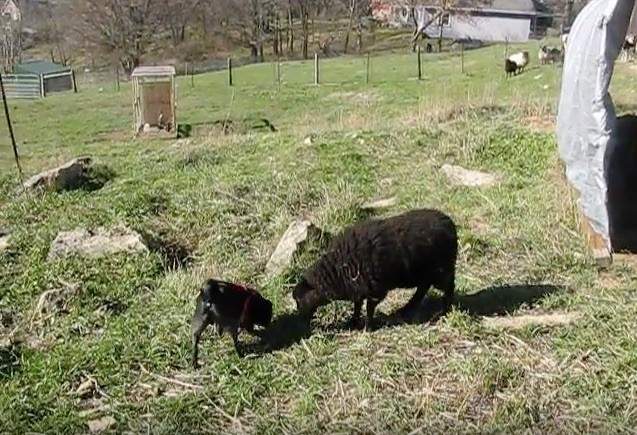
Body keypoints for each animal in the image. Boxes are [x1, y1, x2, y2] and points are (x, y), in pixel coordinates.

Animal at [294, 209, 458, 332]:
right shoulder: (359, 288)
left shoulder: (375, 289)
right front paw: (353, 322)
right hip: (424, 273)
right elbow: (357, 305)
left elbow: (369, 308)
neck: (337, 270)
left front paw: (367, 327)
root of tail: (449, 222)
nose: (301, 320)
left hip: (442, 269)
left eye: (298, 300)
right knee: (423, 289)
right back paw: (406, 309)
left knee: (448, 287)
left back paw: (444, 311)